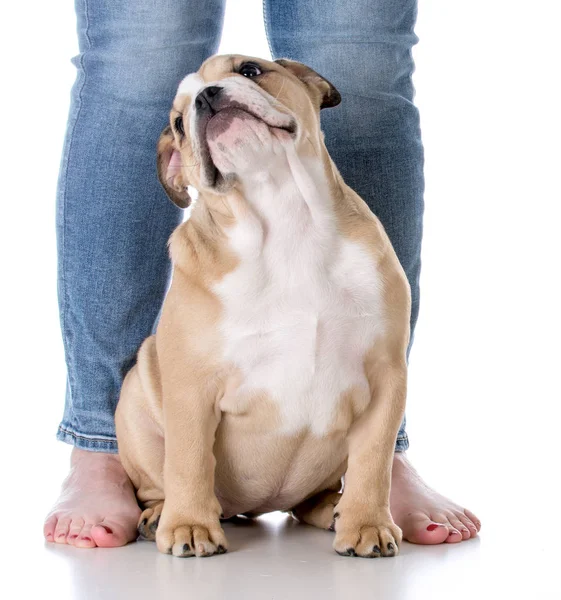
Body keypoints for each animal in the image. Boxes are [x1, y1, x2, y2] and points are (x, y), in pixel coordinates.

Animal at [115, 54, 412, 560]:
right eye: (177, 124)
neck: (283, 217)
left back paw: (335, 510)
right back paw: (161, 517)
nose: (206, 96)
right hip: (136, 399)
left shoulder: (387, 375)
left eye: (250, 70)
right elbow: (189, 459)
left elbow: (374, 462)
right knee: (161, 481)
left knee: (316, 496)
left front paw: (367, 525)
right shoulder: (191, 387)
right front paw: (190, 525)